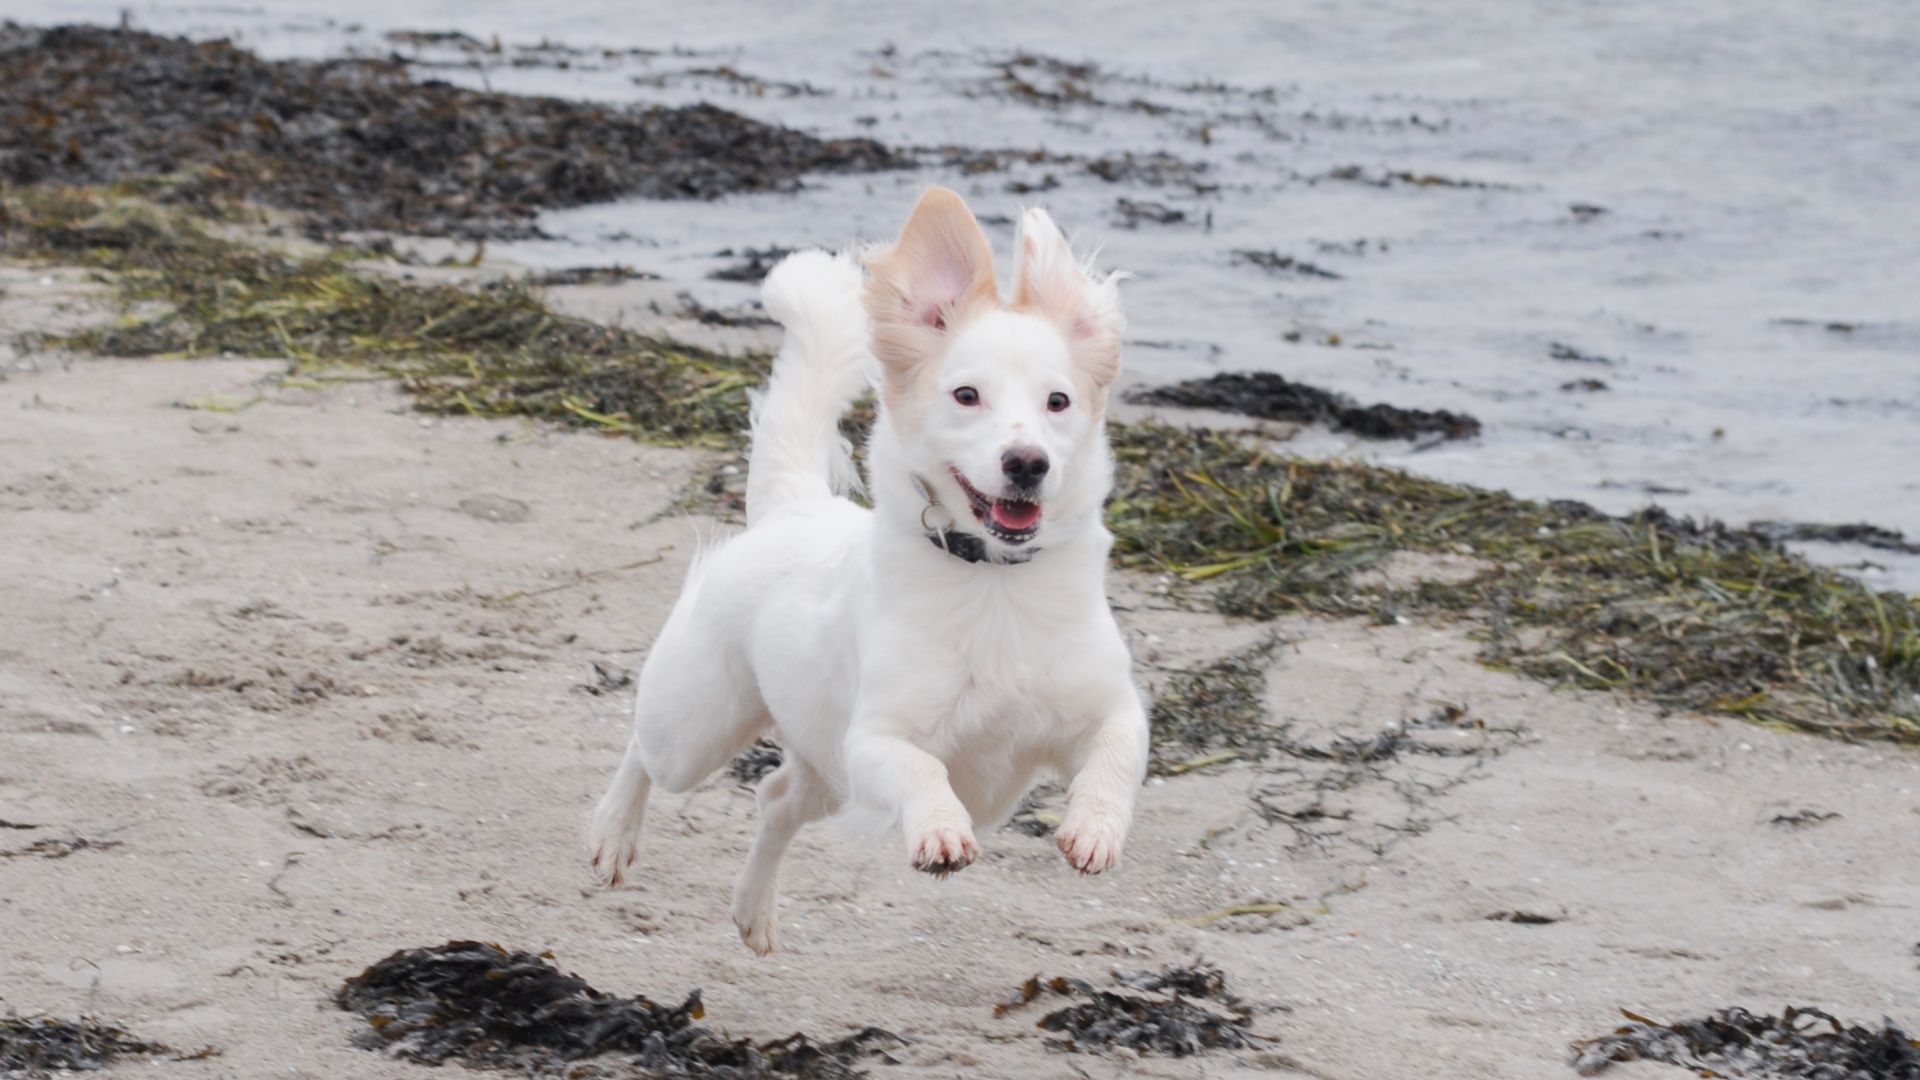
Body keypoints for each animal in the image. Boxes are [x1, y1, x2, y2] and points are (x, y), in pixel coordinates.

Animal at [583, 184, 1144, 949]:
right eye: (966, 395)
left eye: (1058, 402)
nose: (1028, 463)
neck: (994, 579)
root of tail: (794, 507)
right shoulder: (873, 740)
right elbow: (922, 768)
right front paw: (940, 831)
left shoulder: (1113, 708)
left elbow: (1115, 755)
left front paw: (1094, 830)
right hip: (701, 727)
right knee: (644, 746)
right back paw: (614, 835)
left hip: (821, 772)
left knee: (774, 798)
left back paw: (754, 911)